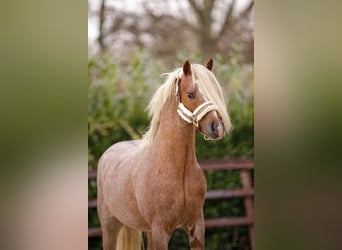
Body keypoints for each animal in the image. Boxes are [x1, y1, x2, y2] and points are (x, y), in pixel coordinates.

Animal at [96, 58, 232, 248]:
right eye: (190, 94)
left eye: (216, 92)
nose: (217, 128)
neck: (177, 169)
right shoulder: (160, 231)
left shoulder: (196, 227)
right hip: (110, 228)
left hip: (147, 230)